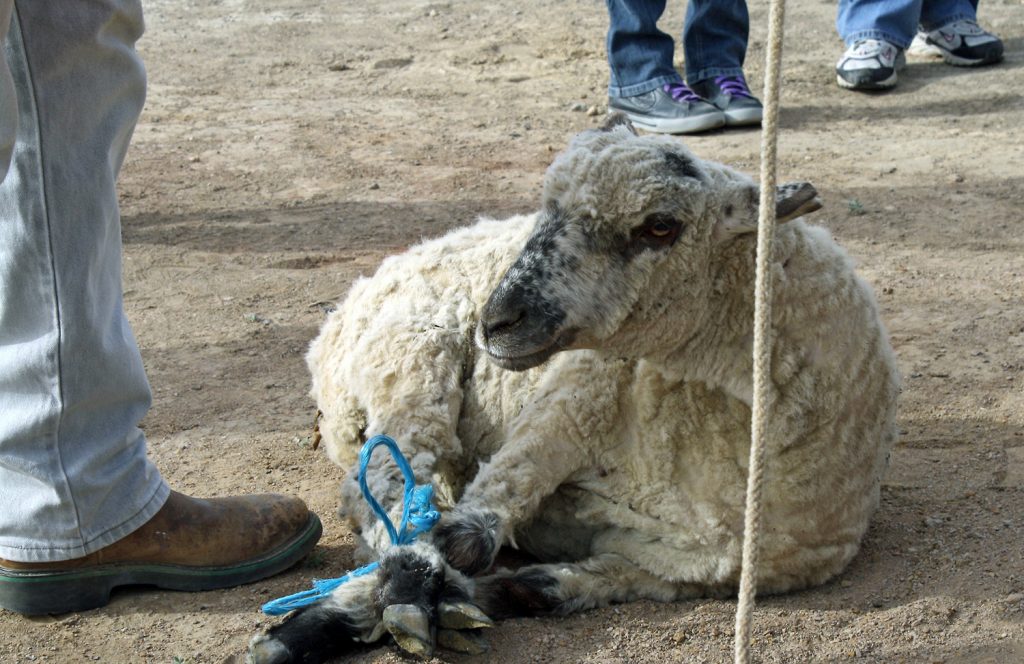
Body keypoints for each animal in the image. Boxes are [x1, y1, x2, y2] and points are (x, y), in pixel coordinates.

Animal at [247, 115, 899, 664]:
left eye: (660, 226)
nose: (497, 321)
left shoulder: (741, 561)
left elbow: (562, 582)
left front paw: (496, 595)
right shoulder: (574, 397)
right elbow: (465, 531)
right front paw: (348, 615)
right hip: (409, 358)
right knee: (394, 485)